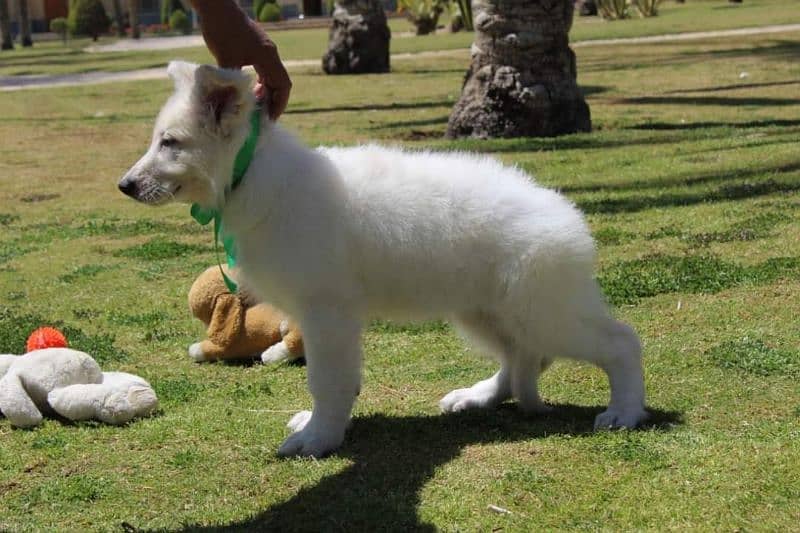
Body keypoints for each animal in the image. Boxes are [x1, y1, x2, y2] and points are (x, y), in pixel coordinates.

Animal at [119, 60, 648, 456]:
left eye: (170, 143)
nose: (124, 186)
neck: (253, 175)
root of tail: (566, 215)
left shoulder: (327, 312)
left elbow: (326, 380)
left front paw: (318, 437)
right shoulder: (324, 315)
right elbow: (335, 381)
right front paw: (319, 427)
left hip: (541, 311)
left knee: (619, 343)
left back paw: (625, 411)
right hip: (483, 311)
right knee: (523, 356)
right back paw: (479, 396)